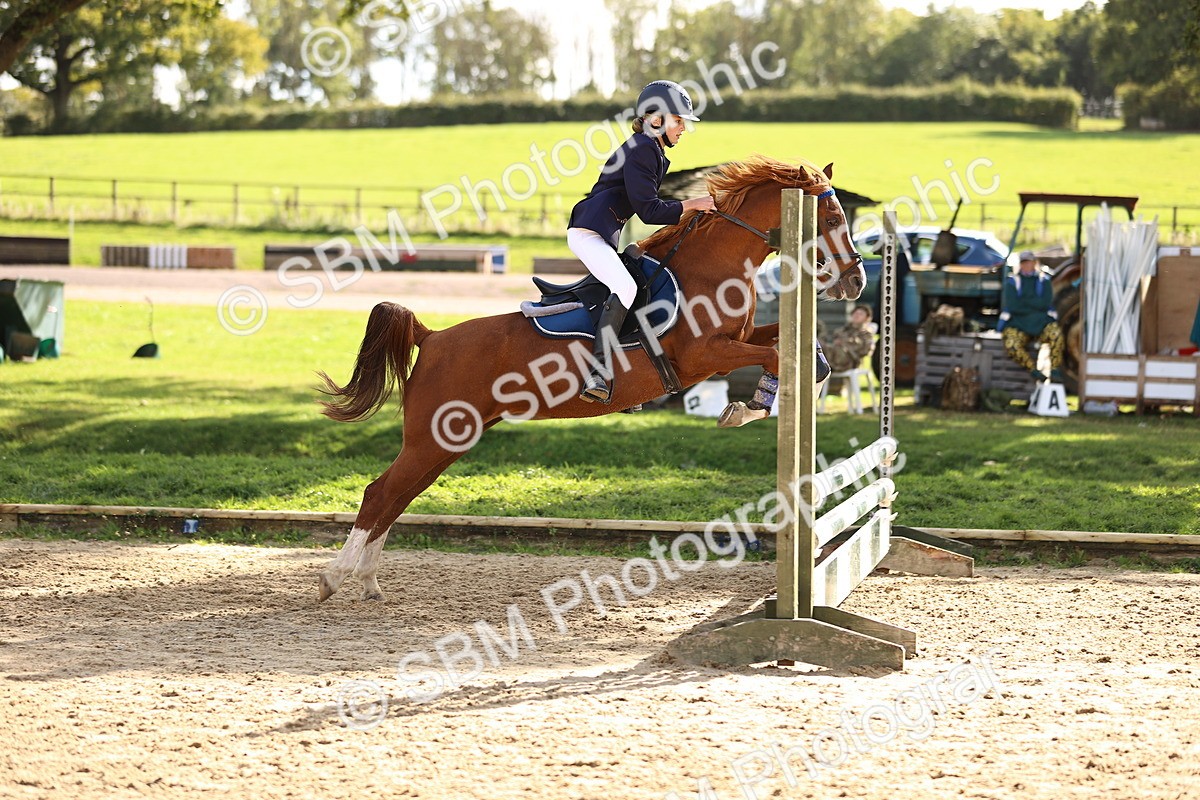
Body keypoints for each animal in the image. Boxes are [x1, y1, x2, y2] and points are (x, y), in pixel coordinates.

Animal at [315, 156, 865, 602]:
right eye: (832, 219)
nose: (856, 280)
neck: (714, 265)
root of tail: (430, 338)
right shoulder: (707, 355)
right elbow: (774, 356)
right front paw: (751, 406)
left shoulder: (741, 338)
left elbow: (802, 351)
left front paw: (763, 401)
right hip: (429, 442)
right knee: (380, 494)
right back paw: (335, 579)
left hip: (446, 443)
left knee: (397, 498)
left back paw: (368, 582)